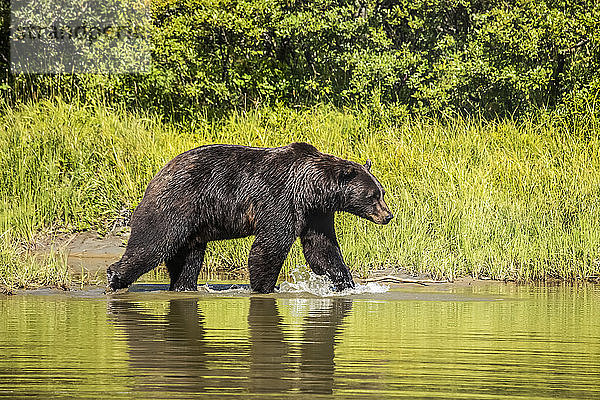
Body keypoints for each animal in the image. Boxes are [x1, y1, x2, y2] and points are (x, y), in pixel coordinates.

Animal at [107, 142, 394, 292]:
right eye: (373, 196)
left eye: (381, 192)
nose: (388, 215)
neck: (311, 188)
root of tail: (161, 171)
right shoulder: (280, 198)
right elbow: (271, 244)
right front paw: (266, 287)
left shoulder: (316, 213)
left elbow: (322, 249)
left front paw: (347, 284)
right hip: (177, 203)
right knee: (154, 242)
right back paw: (115, 278)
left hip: (194, 223)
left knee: (188, 257)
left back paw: (184, 287)